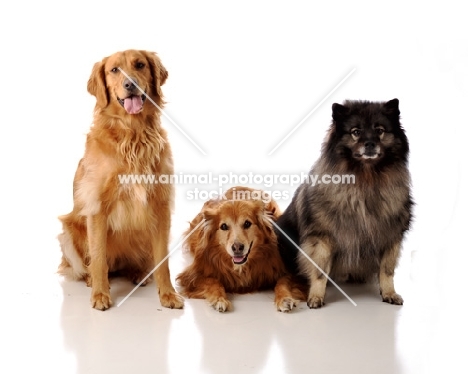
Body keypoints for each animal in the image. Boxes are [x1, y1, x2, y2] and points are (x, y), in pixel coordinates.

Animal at [57, 49, 184, 310]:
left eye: (140, 65)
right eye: (114, 70)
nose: (130, 84)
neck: (133, 133)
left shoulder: (161, 205)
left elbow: (163, 261)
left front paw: (168, 294)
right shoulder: (97, 208)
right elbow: (98, 258)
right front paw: (100, 294)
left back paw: (139, 274)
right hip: (68, 233)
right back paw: (90, 280)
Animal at [176, 187, 304, 312]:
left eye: (247, 223)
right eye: (223, 226)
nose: (237, 248)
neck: (242, 267)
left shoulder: (288, 271)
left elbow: (282, 283)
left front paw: (285, 298)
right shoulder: (192, 276)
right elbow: (213, 281)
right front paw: (219, 299)